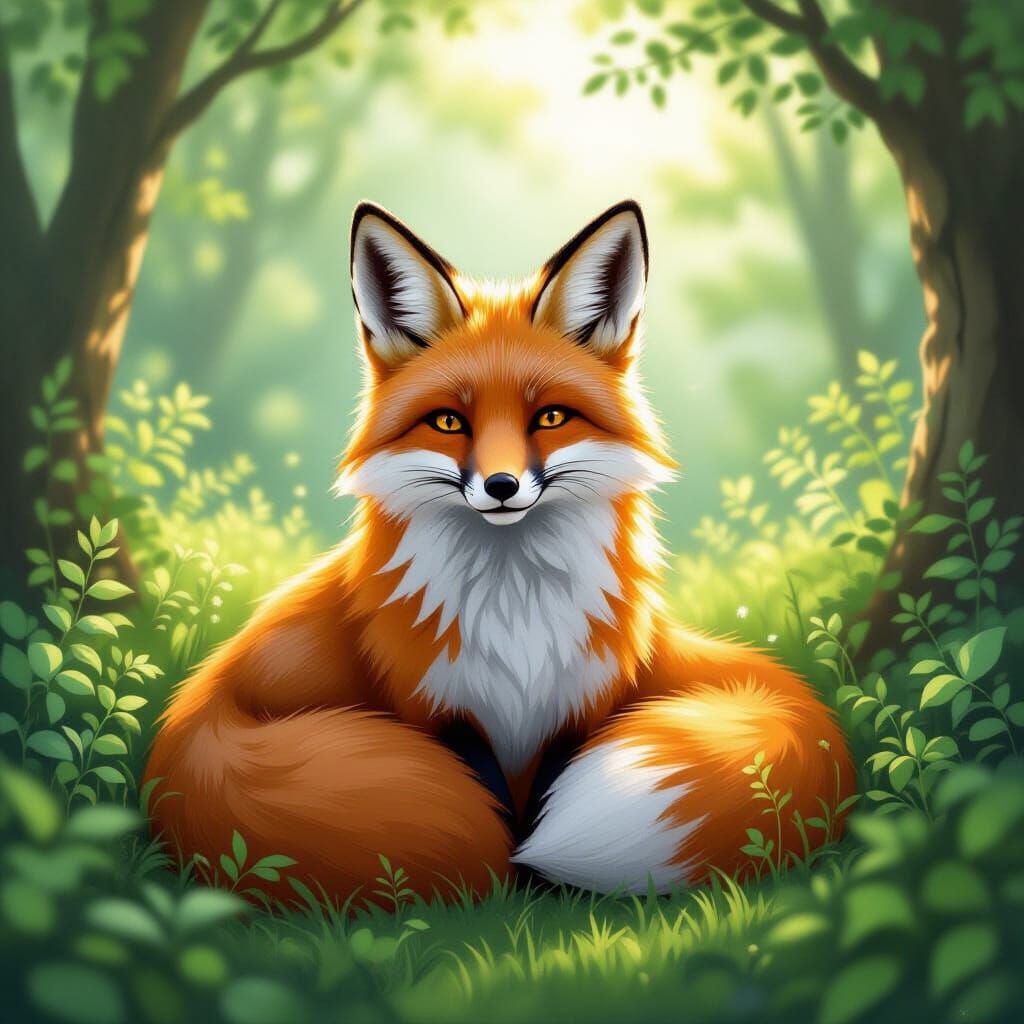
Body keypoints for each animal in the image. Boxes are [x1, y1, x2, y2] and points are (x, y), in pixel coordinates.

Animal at [144, 199, 854, 903]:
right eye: (449, 422)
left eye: (551, 418)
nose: (503, 486)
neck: (517, 612)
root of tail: (191, 709)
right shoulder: (436, 706)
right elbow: (498, 816)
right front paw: (515, 878)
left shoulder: (581, 702)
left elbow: (539, 801)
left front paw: (542, 879)